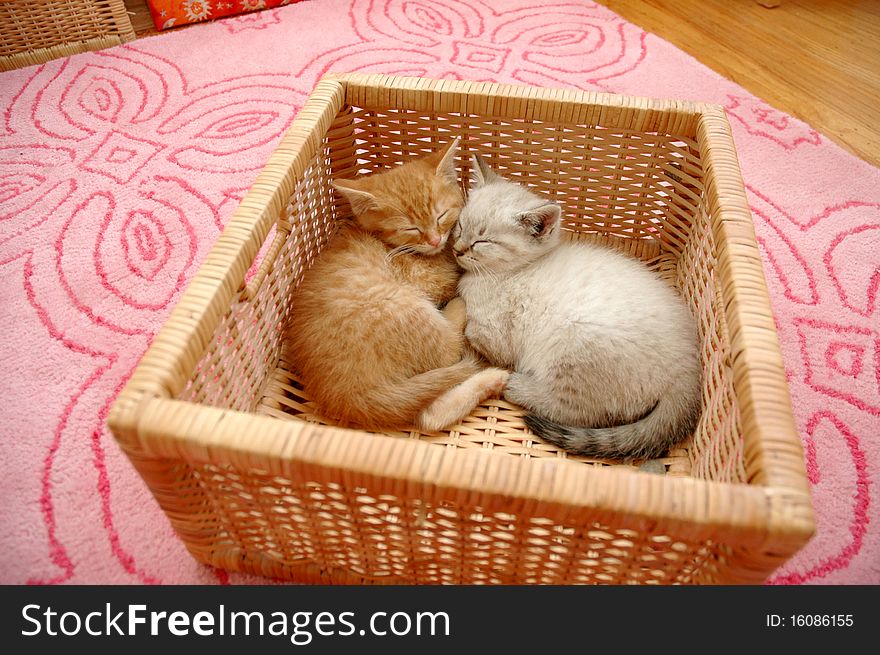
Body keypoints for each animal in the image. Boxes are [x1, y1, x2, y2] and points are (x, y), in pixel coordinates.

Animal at [288, 140, 508, 430]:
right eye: (411, 229)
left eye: (441, 216)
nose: (435, 240)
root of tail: (344, 395)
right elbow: (453, 279)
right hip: (403, 304)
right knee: (448, 350)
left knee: (428, 417)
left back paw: (492, 379)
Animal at [454, 155, 700, 462]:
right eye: (460, 225)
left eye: (482, 241)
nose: (457, 249)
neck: (511, 272)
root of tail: (688, 366)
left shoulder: (497, 337)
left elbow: (470, 329)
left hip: (571, 346)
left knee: (577, 411)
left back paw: (516, 385)